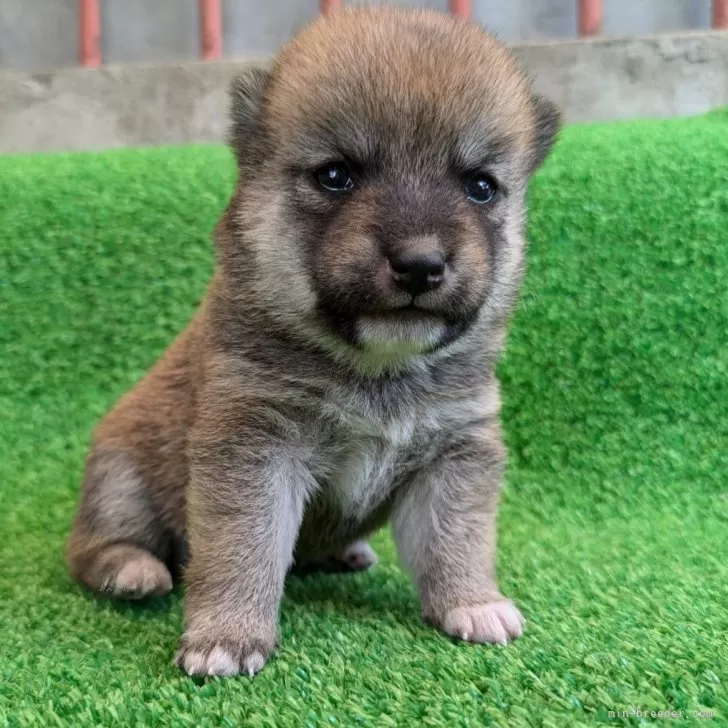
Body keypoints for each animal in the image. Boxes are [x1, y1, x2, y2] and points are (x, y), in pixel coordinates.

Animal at [67, 5, 556, 676]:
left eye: (480, 187)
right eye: (336, 176)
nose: (421, 265)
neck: (376, 369)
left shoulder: (455, 453)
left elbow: (458, 538)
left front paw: (472, 602)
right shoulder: (254, 450)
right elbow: (244, 549)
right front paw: (227, 634)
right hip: (121, 475)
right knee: (93, 546)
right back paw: (130, 568)